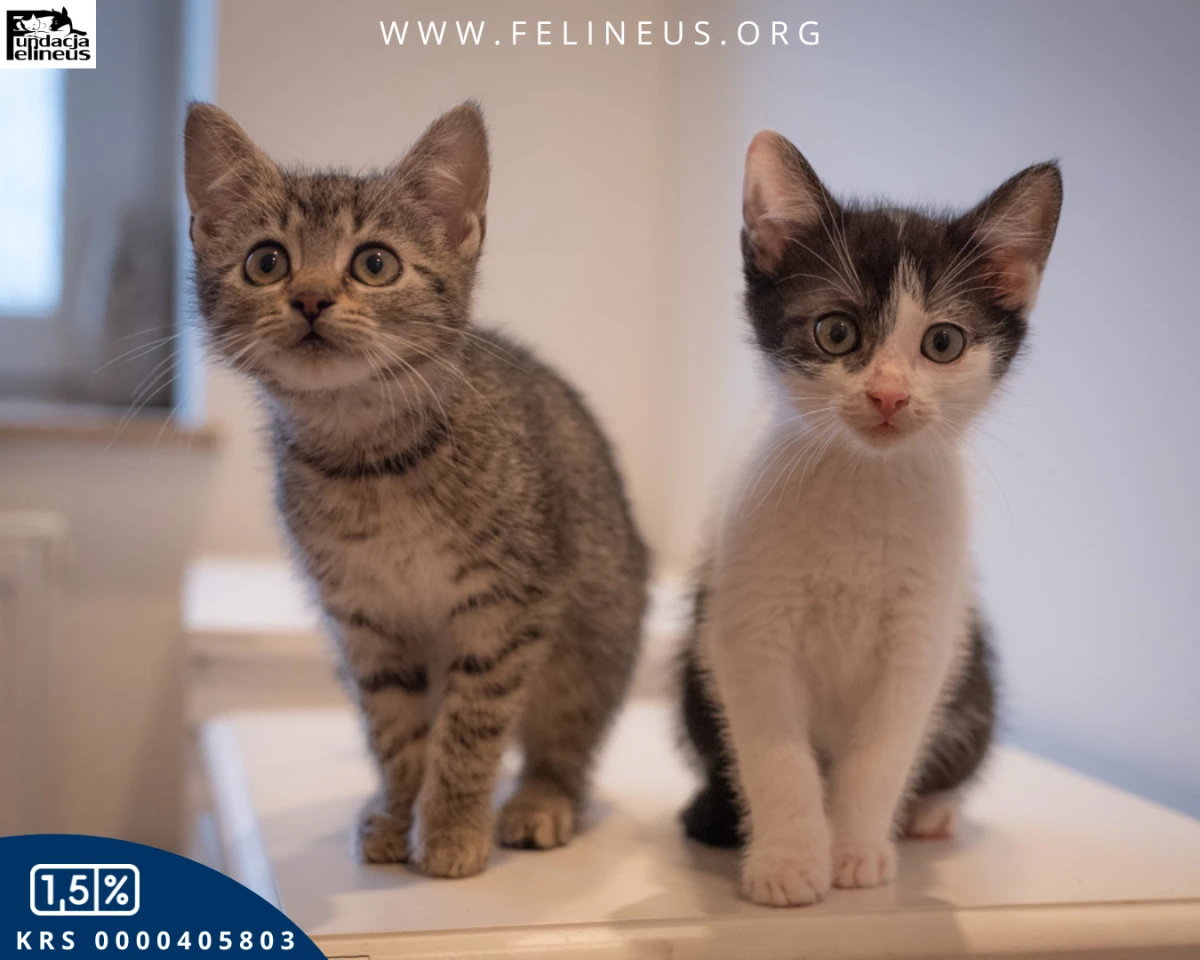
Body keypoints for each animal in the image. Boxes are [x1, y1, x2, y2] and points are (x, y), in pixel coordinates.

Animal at [184, 102, 649, 879]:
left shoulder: (505, 608)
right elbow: (398, 733)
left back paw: (538, 800)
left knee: (564, 745)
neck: (371, 464)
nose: (310, 298)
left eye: (375, 263)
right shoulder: (365, 620)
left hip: (593, 635)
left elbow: (470, 729)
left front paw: (454, 828)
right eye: (266, 261)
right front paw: (401, 815)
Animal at [678, 130, 1061, 907]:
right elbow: (777, 756)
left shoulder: (924, 637)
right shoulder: (746, 626)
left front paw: (854, 851)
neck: (864, 479)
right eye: (835, 332)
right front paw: (791, 862)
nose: (887, 395)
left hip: (974, 679)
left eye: (943, 343)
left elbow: (881, 755)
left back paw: (929, 813)